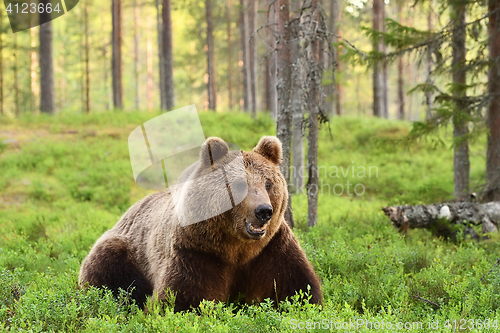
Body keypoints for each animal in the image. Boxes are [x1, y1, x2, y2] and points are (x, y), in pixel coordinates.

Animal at [78, 136, 320, 312]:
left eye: (268, 183)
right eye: (239, 184)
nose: (263, 211)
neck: (236, 250)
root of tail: (127, 212)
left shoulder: (270, 250)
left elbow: (298, 290)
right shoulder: (196, 253)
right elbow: (181, 300)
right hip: (125, 250)